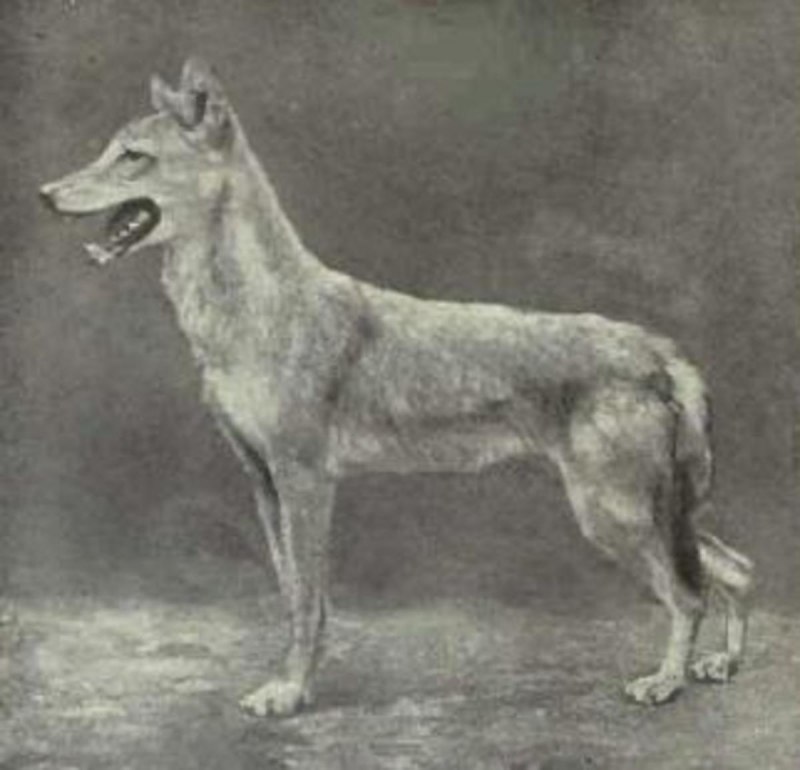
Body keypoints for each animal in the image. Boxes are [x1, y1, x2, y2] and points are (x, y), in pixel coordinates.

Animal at [40, 59, 753, 717]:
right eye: (108, 148)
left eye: (133, 156)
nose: (45, 193)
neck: (257, 307)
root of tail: (660, 352)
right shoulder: (265, 485)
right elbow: (293, 594)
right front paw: (295, 681)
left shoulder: (305, 481)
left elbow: (308, 602)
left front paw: (290, 692)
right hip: (651, 511)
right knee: (735, 569)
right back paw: (722, 664)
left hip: (614, 512)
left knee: (688, 593)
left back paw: (667, 681)